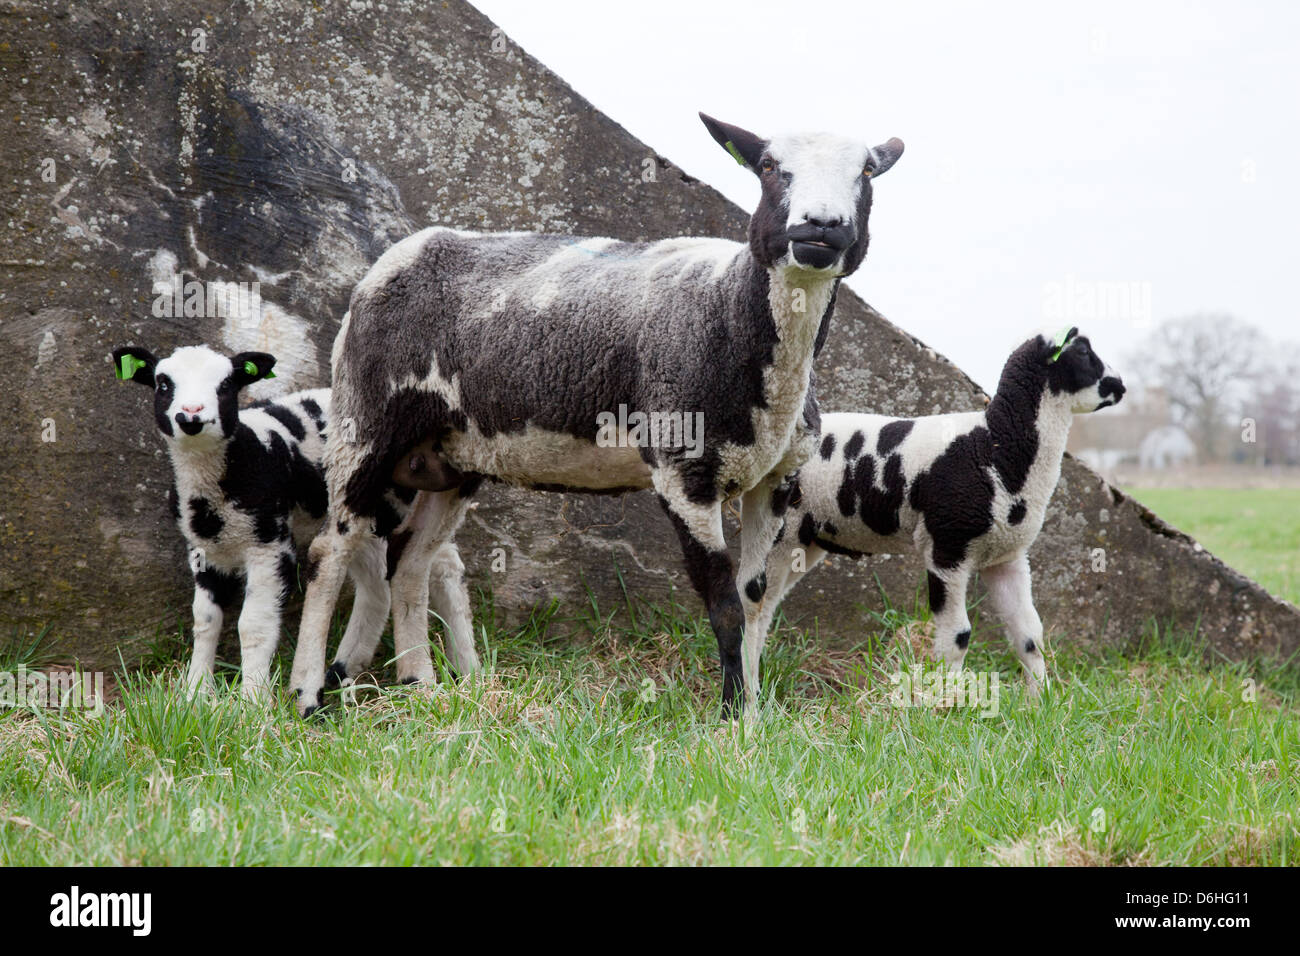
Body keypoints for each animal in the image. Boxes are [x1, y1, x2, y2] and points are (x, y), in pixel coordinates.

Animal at [111, 344, 477, 699]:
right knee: (389, 578)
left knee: (435, 567)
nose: (191, 414)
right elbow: (205, 620)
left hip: (396, 502)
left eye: (226, 385)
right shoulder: (204, 552)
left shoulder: (270, 547)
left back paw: (465, 667)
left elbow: (253, 625)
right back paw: (349, 670)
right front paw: (195, 695)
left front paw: (252, 702)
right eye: (163, 384)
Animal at [287, 112, 905, 717]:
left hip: (451, 455)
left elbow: (754, 602)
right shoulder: (683, 470)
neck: (730, 310)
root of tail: (396, 256)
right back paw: (306, 696)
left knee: (410, 560)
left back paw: (422, 687)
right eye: (771, 167)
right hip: (365, 420)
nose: (820, 226)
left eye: (867, 172)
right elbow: (725, 603)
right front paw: (730, 720)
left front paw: (753, 715)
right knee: (329, 552)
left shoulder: (775, 480)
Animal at [741, 327, 1126, 705]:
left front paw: (1039, 701)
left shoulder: (1007, 557)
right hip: (779, 533)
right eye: (1083, 352)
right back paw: (750, 694)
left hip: (804, 541)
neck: (996, 446)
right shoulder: (947, 547)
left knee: (766, 607)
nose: (1120, 386)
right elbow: (958, 635)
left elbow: (1030, 634)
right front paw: (945, 702)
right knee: (753, 607)